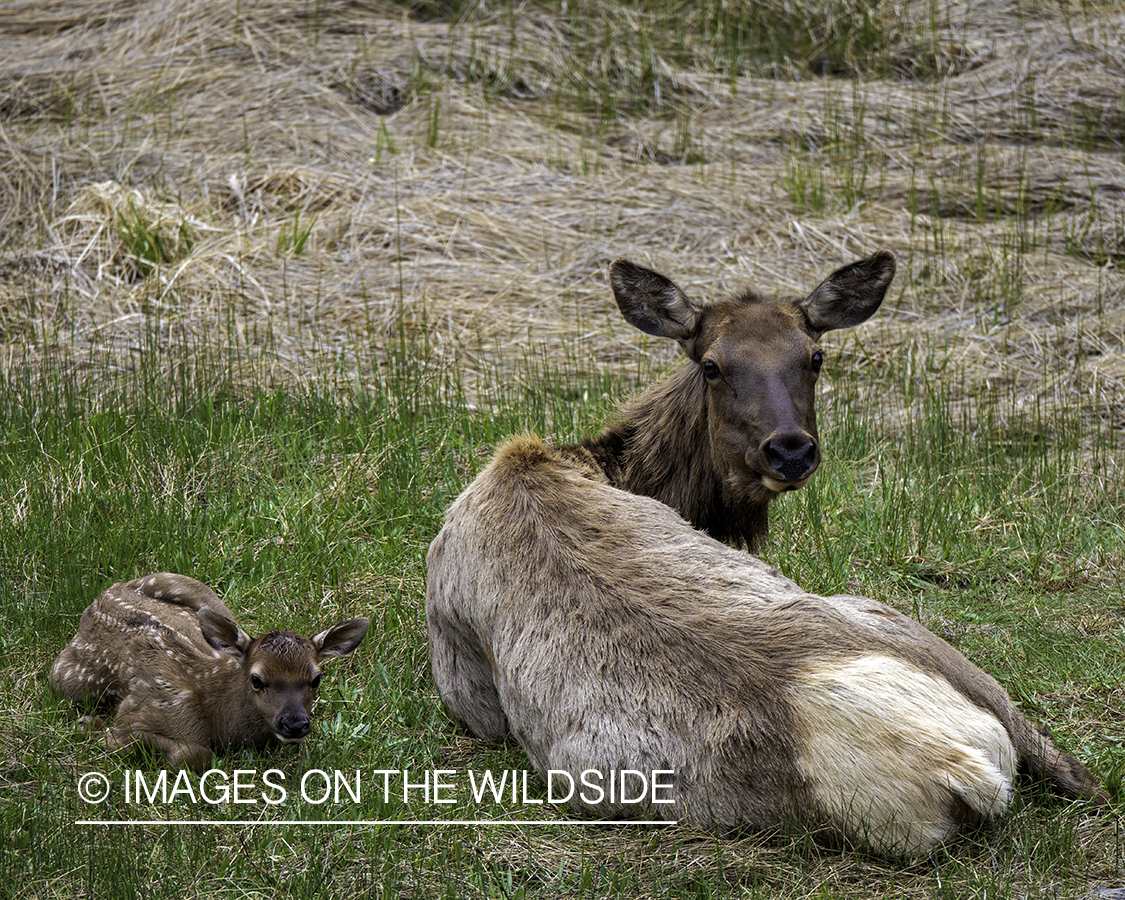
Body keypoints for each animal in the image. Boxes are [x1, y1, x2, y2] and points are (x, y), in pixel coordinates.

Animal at [51, 573, 369, 769]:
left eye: (316, 678)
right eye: (257, 679)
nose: (295, 724)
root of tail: (105, 595)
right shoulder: (138, 712)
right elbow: (194, 752)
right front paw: (91, 727)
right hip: (68, 679)